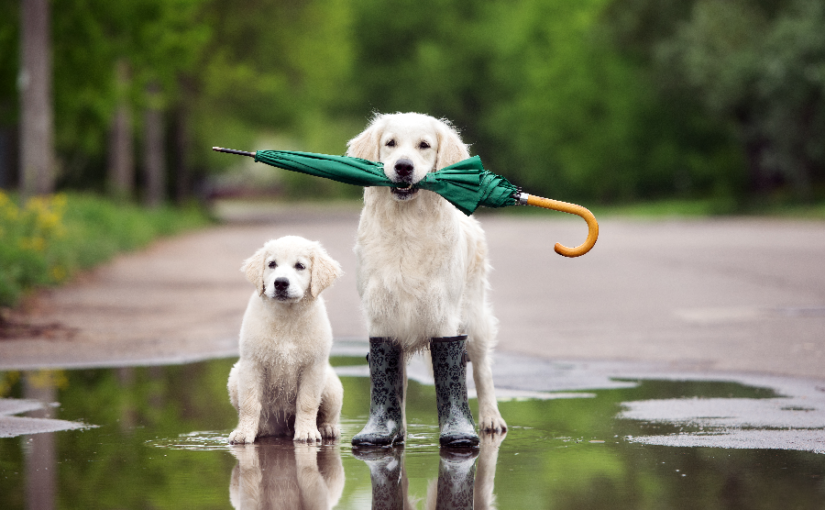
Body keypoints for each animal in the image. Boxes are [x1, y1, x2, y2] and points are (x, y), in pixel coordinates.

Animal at [227, 235, 342, 442]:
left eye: (300, 266)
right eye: (272, 264)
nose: (280, 283)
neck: (287, 317)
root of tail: (282, 430)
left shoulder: (313, 366)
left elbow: (307, 402)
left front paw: (307, 432)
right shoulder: (251, 363)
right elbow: (249, 403)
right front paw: (244, 433)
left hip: (331, 385)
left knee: (329, 414)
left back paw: (327, 428)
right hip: (234, 377)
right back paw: (260, 430)